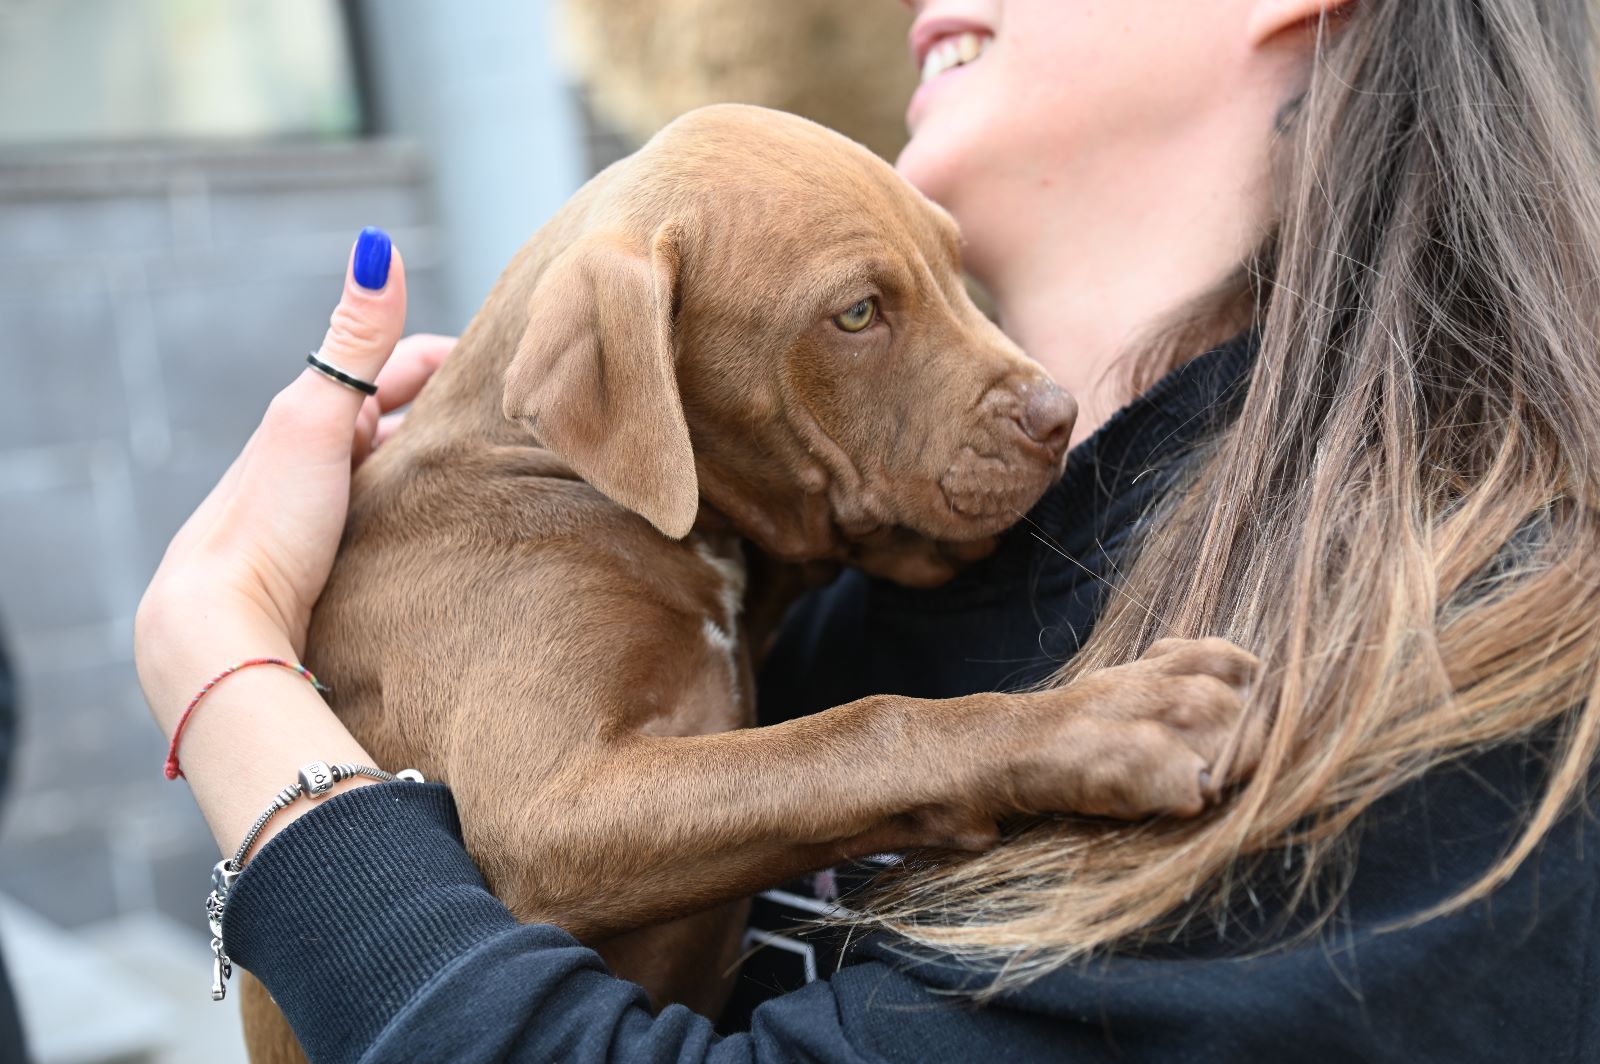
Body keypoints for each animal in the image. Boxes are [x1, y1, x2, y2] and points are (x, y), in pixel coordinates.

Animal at [240, 104, 1260, 1056]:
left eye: (954, 260)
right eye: (857, 313)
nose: (1059, 416)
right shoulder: (536, 811)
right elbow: (858, 731)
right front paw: (1115, 718)